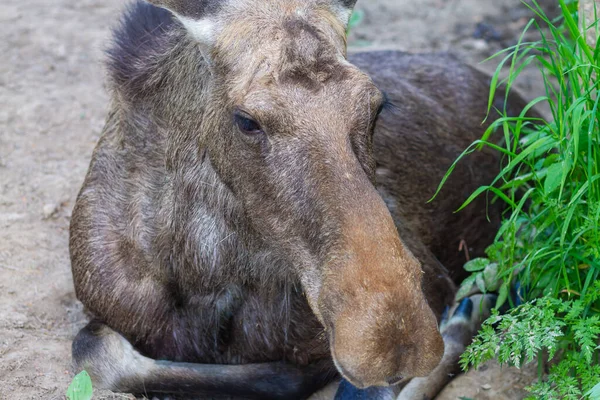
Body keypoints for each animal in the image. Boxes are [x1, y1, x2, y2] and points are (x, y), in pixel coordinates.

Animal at [69, 0, 528, 398]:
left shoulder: (433, 282)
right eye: (246, 120)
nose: (393, 341)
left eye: (377, 106)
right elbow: (93, 351)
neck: (203, 270)